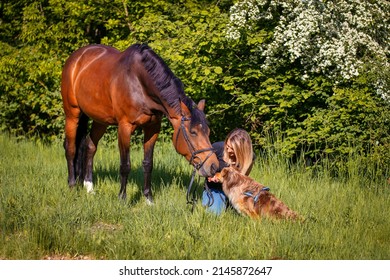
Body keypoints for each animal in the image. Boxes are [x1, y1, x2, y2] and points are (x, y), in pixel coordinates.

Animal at [61, 43, 219, 203]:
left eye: (208, 132)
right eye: (193, 132)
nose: (214, 166)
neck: (139, 83)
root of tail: (76, 57)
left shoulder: (152, 128)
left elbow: (148, 164)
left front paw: (148, 199)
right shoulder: (124, 128)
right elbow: (125, 165)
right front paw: (122, 199)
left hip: (100, 120)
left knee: (90, 146)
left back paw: (89, 188)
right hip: (72, 114)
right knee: (71, 148)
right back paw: (72, 186)